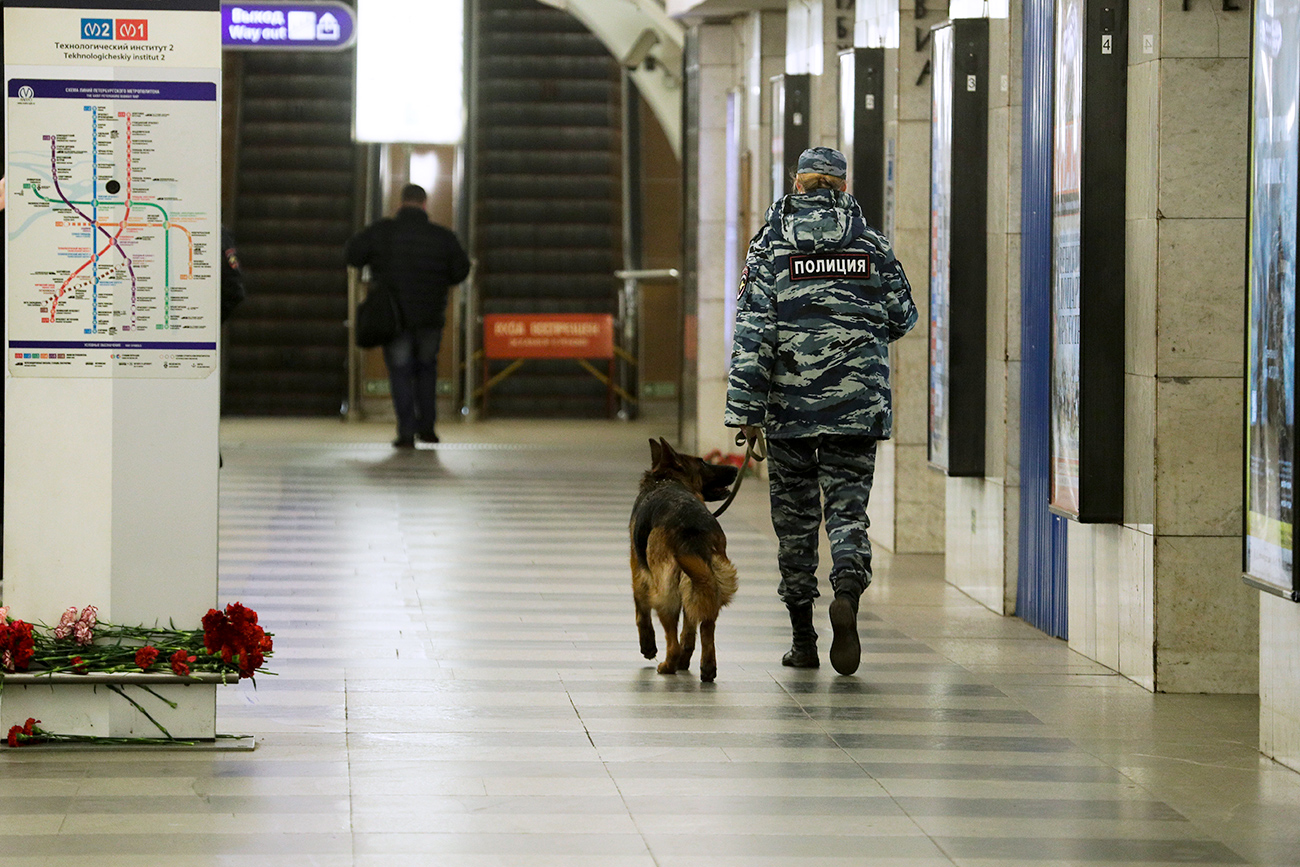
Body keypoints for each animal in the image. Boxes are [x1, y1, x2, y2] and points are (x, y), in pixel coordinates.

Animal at [631, 441, 743, 686]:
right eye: (703, 462)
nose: (735, 468)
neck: (667, 480)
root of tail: (691, 525)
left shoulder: (638, 572)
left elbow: (641, 613)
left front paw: (648, 646)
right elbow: (690, 628)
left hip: (665, 594)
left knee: (672, 640)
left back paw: (667, 665)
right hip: (708, 582)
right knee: (706, 627)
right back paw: (705, 668)